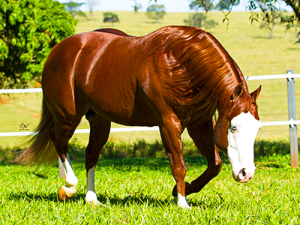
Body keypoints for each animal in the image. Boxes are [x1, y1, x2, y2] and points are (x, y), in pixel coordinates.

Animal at [19, 26, 262, 209]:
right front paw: (182, 203)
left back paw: (92, 199)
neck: (180, 63)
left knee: (91, 155)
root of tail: (58, 50)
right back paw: (68, 188)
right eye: (233, 127)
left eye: (257, 128)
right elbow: (179, 165)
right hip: (68, 116)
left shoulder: (199, 124)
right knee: (59, 141)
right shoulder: (168, 124)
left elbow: (215, 165)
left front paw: (179, 191)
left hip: (99, 120)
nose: (246, 174)